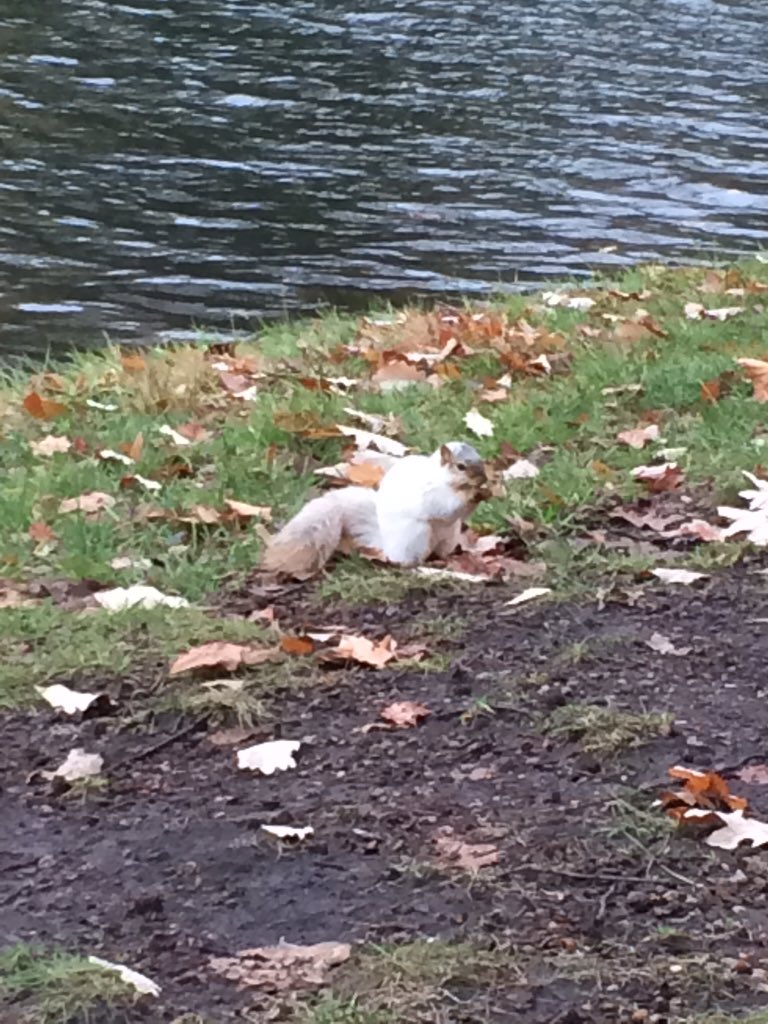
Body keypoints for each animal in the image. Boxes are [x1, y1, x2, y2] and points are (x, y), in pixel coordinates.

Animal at [261, 441, 488, 579]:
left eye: (481, 459)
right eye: (460, 466)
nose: (483, 479)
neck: (444, 479)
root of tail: (385, 545)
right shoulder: (431, 492)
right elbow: (445, 506)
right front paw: (474, 494)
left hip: (449, 536)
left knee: (441, 551)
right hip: (416, 537)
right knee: (406, 561)